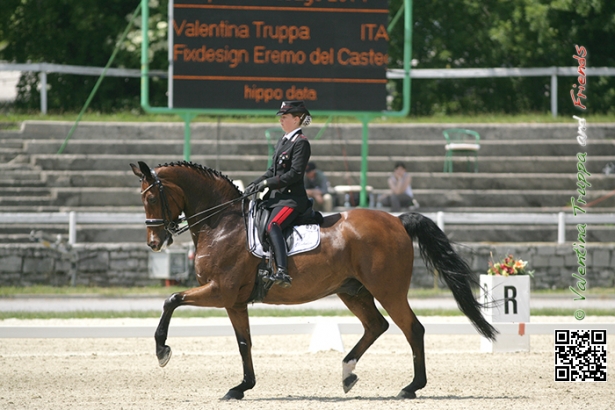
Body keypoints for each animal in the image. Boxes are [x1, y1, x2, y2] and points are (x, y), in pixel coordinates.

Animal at [131, 160, 500, 400]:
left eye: (150, 197)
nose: (154, 243)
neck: (222, 223)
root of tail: (396, 221)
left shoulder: (220, 291)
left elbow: (172, 300)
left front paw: (162, 350)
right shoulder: (233, 301)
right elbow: (243, 342)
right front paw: (241, 388)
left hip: (388, 290)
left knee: (413, 329)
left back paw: (411, 388)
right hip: (352, 290)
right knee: (377, 325)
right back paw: (348, 373)